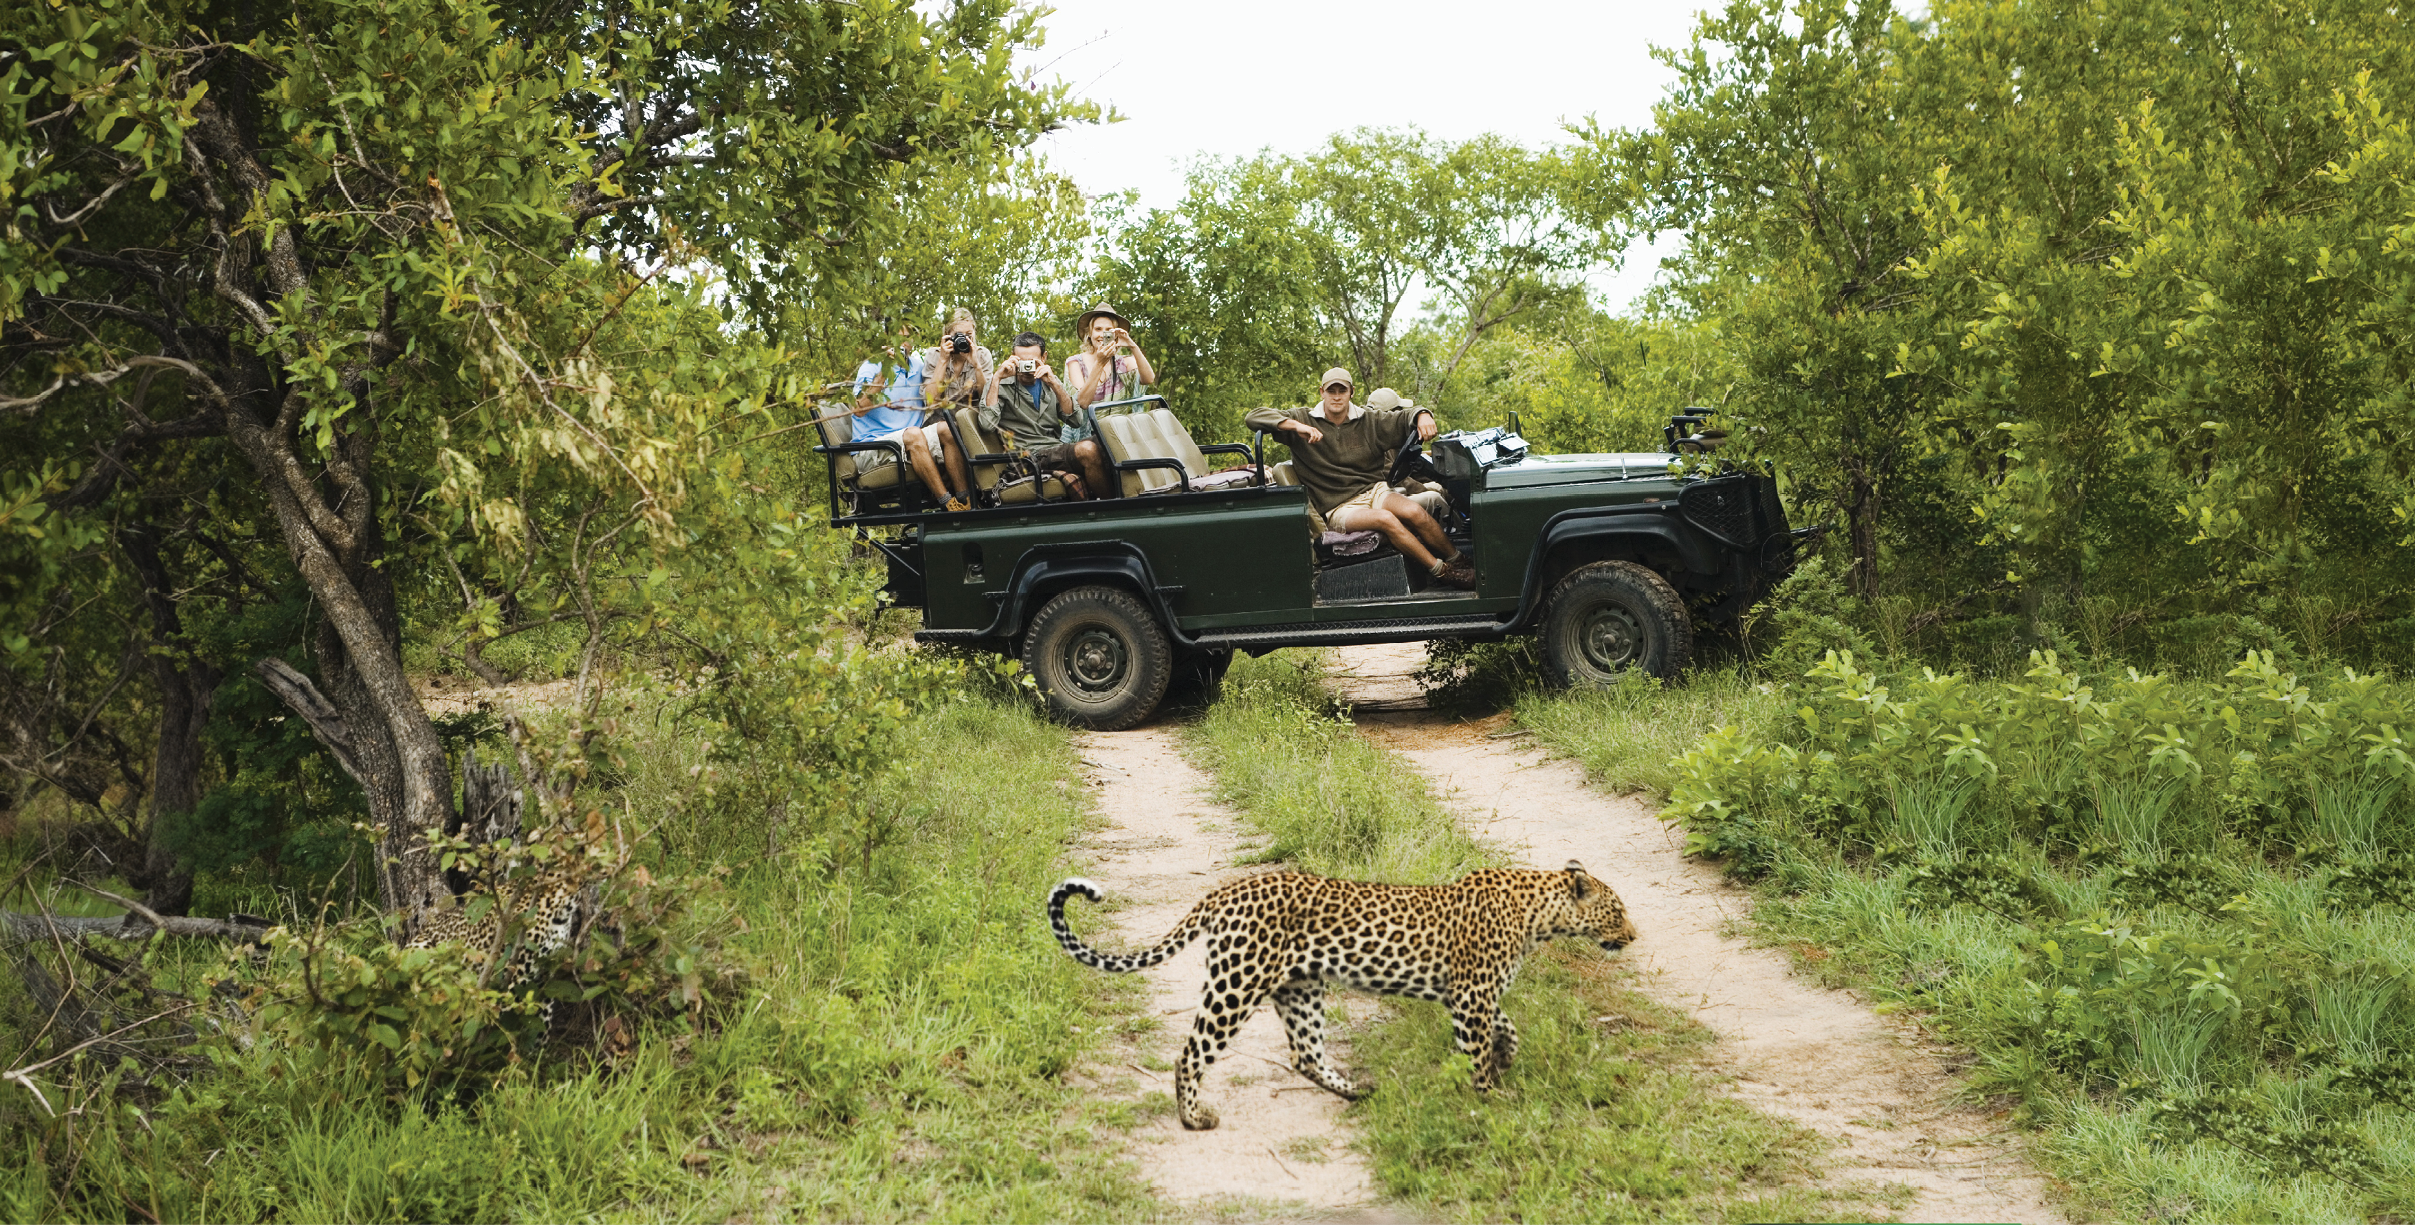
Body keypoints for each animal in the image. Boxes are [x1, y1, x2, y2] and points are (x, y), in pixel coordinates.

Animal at [1046, 860, 1639, 1131]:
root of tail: (1223, 891)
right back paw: (1195, 1118)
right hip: (1237, 983)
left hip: (1300, 987)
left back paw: (1357, 1091)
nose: (1634, 936)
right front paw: (1493, 1099)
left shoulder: (1470, 996)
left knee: (1305, 1053)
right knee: (1191, 1053)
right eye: (1618, 911)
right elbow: (1479, 1050)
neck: (1538, 915)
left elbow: (1506, 1024)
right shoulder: (1471, 996)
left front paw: (1508, 1055)